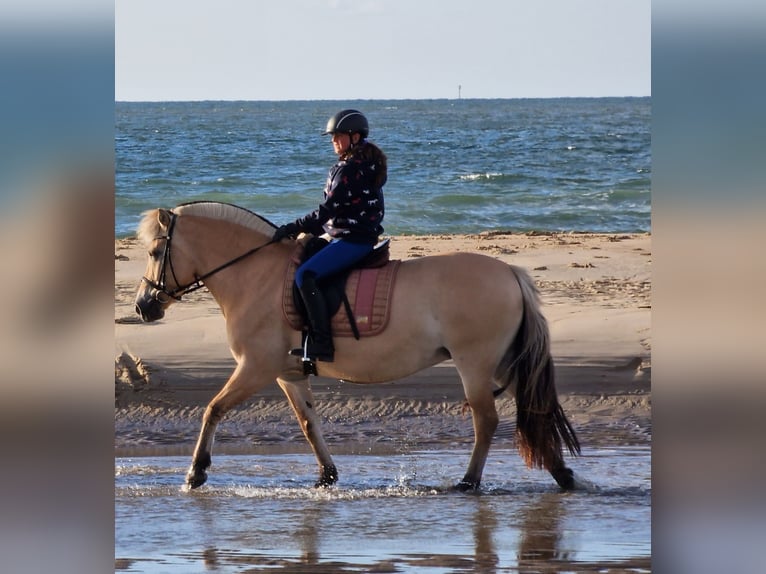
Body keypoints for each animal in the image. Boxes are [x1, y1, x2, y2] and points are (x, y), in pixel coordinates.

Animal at [135, 201, 584, 490]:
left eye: (157, 251)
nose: (143, 306)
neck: (256, 275)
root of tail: (509, 272)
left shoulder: (256, 368)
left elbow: (213, 409)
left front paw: (196, 472)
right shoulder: (287, 374)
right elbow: (309, 424)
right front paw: (327, 475)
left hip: (474, 364)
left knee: (486, 420)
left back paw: (470, 481)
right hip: (505, 362)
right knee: (535, 408)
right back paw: (561, 474)